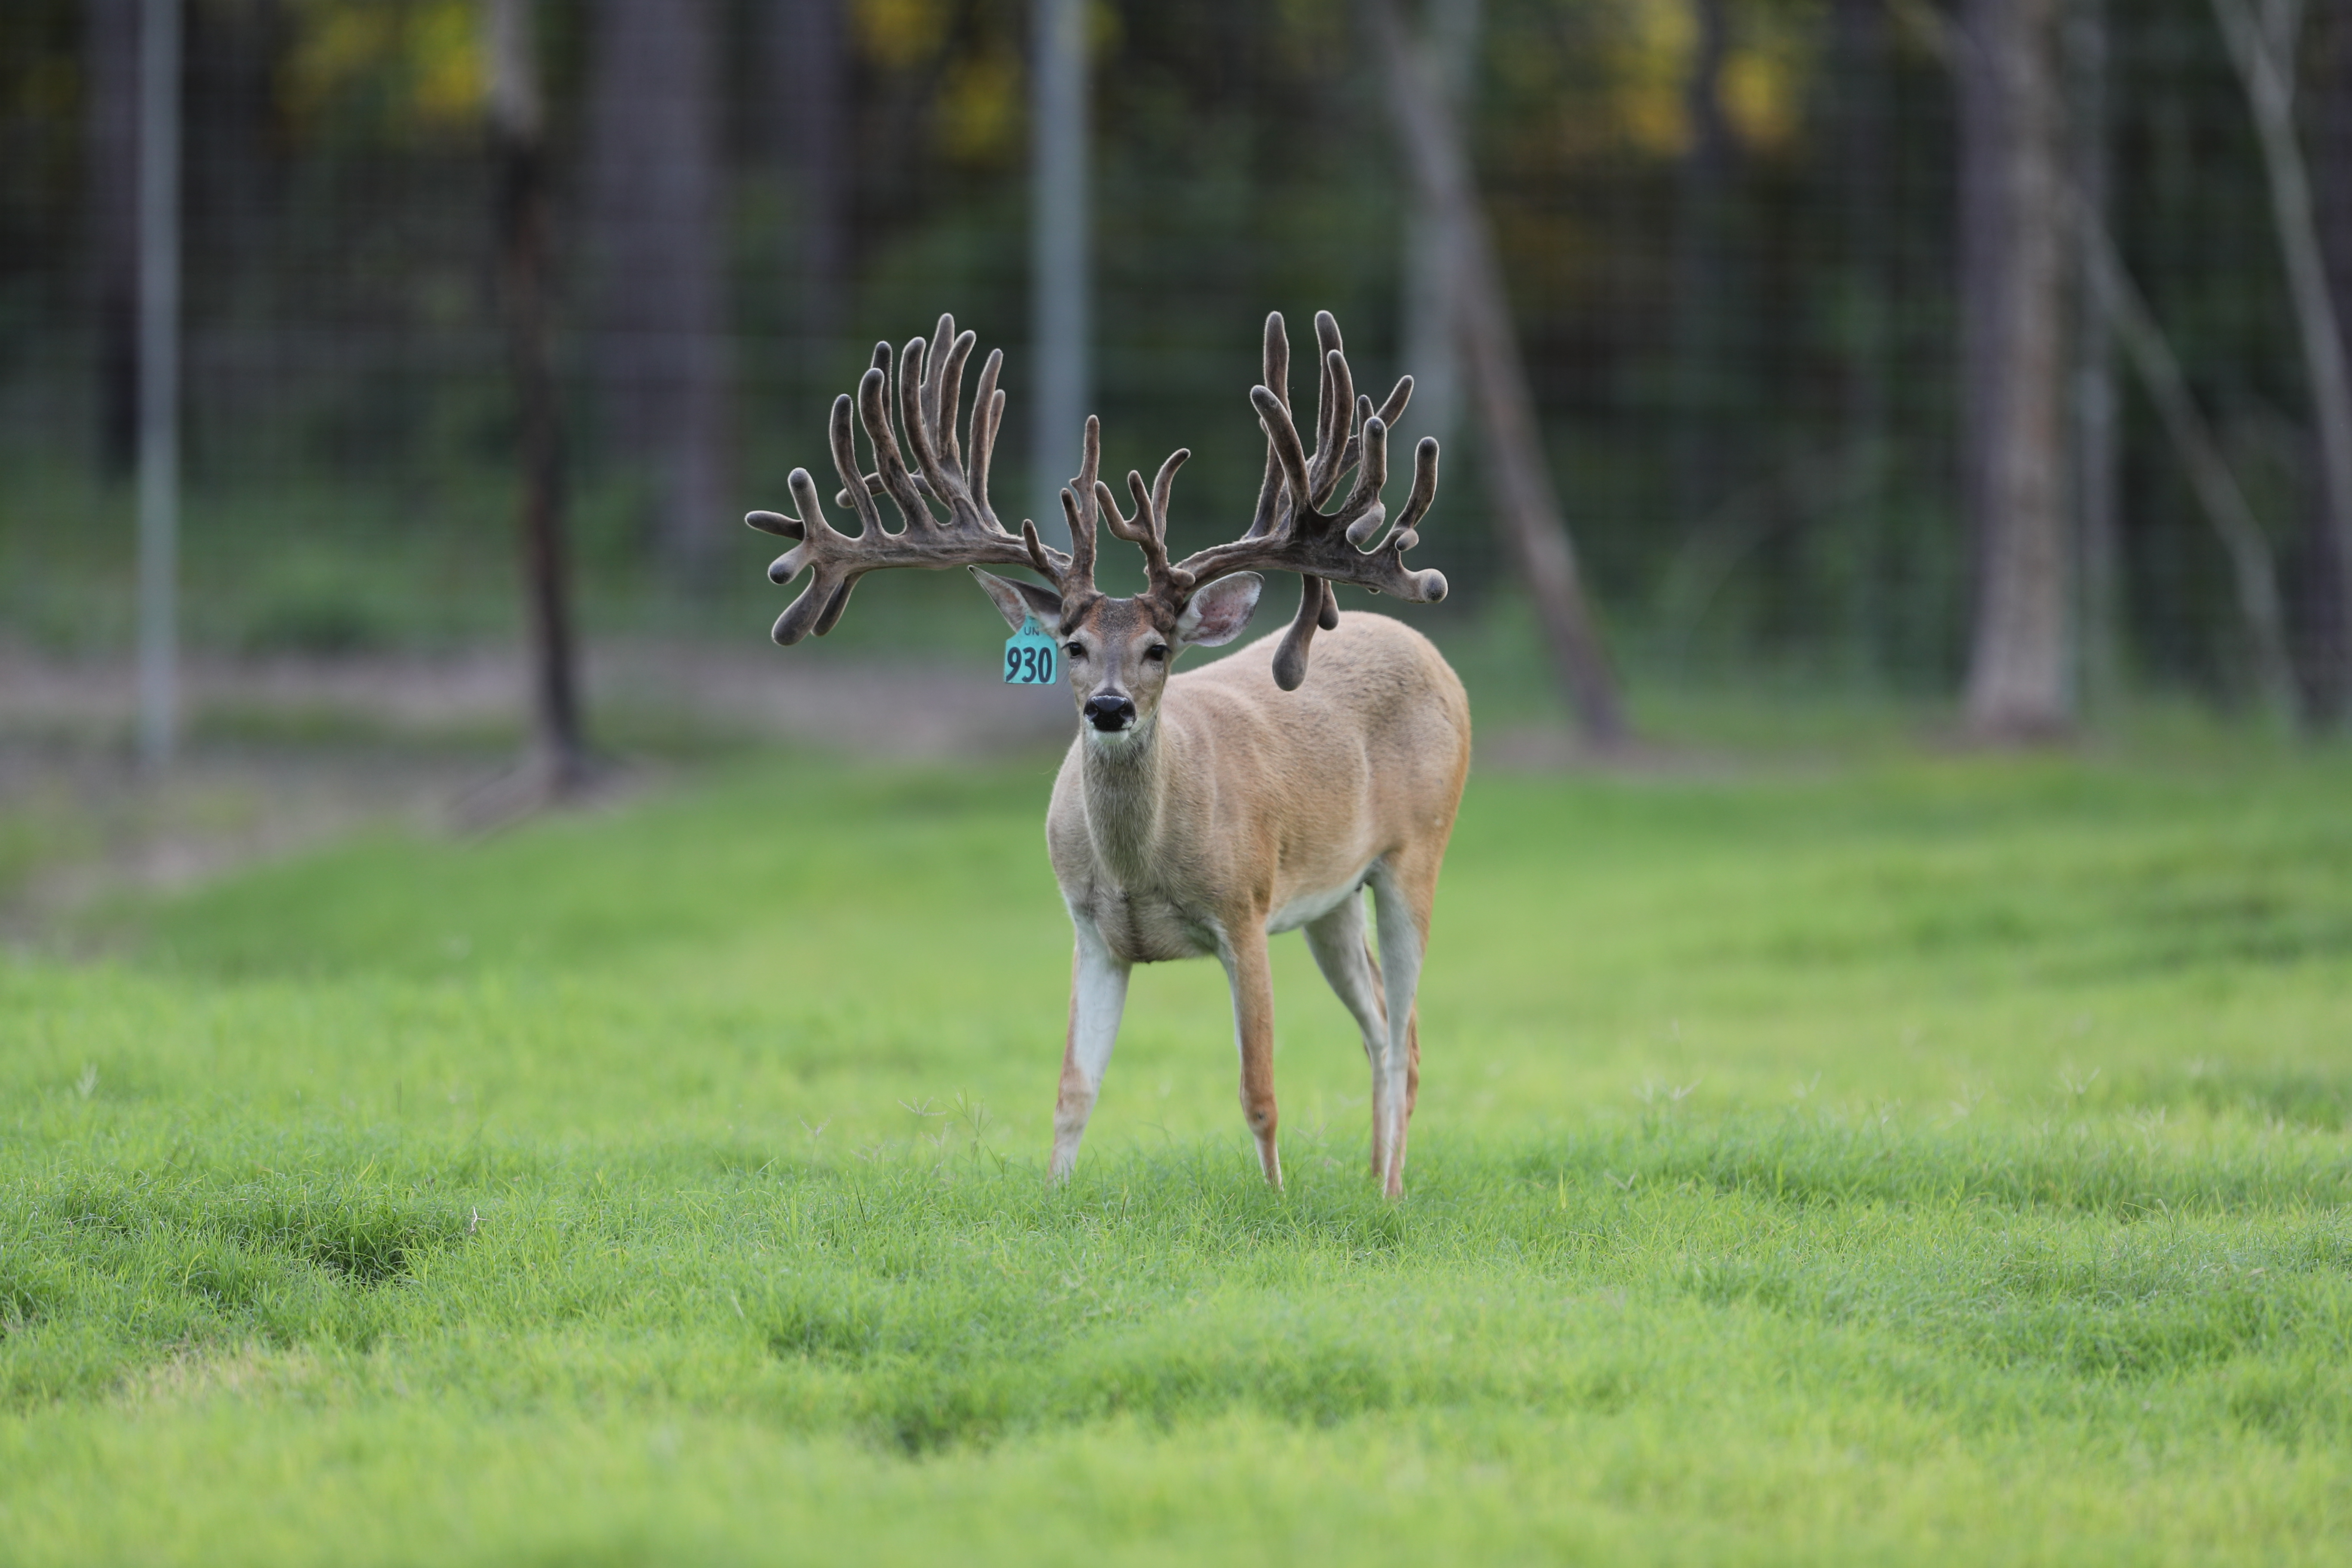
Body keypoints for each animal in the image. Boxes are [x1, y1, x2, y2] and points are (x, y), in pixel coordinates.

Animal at [748, 312, 1467, 1194]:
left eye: (1159, 648)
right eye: (1074, 645)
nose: (1110, 706)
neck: (1136, 865)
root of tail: (1427, 650)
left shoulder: (1245, 910)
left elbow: (1259, 1089)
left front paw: (1274, 1197)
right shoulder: (1090, 930)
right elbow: (1073, 1088)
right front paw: (1052, 1194)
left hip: (1416, 853)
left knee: (1404, 1035)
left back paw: (1391, 1193)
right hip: (1332, 896)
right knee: (1381, 1023)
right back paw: (1371, 1179)